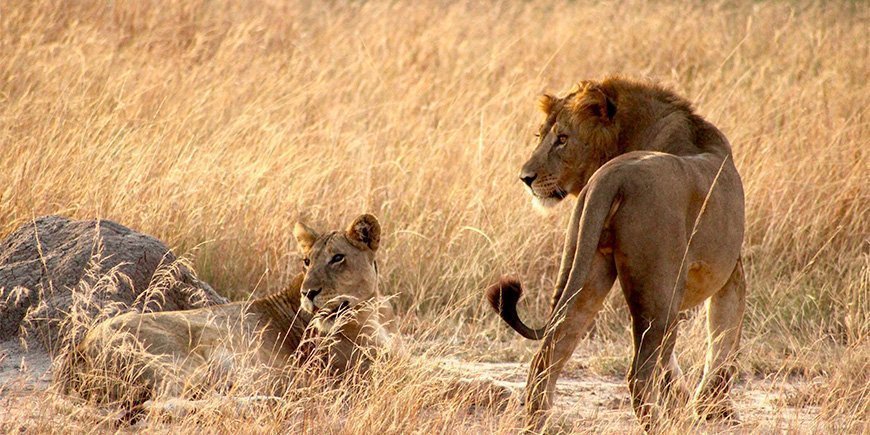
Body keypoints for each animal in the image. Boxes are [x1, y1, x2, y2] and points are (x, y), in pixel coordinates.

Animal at [485, 77, 746, 430]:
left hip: (587, 270)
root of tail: (613, 175)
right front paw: (712, 409)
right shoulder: (730, 270)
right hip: (659, 293)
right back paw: (659, 426)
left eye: (562, 139)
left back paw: (537, 424)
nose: (525, 178)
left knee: (547, 355)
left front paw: (687, 403)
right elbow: (723, 338)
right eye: (541, 137)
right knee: (639, 375)